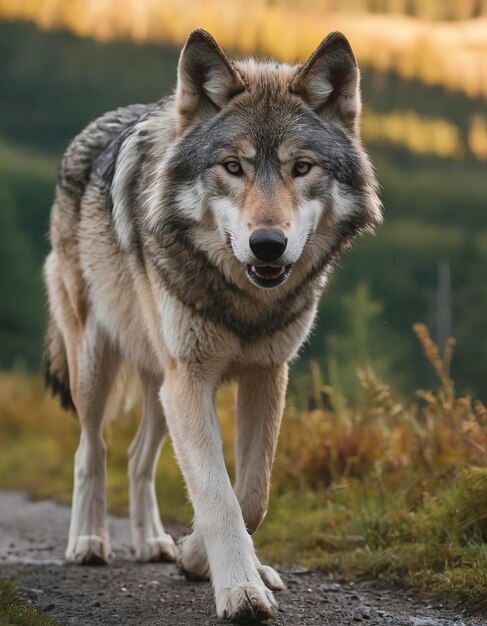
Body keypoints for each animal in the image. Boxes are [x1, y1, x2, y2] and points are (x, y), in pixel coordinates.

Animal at [43, 28, 382, 620]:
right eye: (232, 166)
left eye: (301, 168)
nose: (267, 244)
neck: (246, 303)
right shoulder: (192, 380)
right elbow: (218, 494)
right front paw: (240, 590)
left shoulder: (265, 375)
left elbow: (251, 494)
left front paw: (199, 558)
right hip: (96, 362)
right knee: (93, 449)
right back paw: (88, 542)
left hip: (160, 385)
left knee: (137, 457)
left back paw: (155, 542)